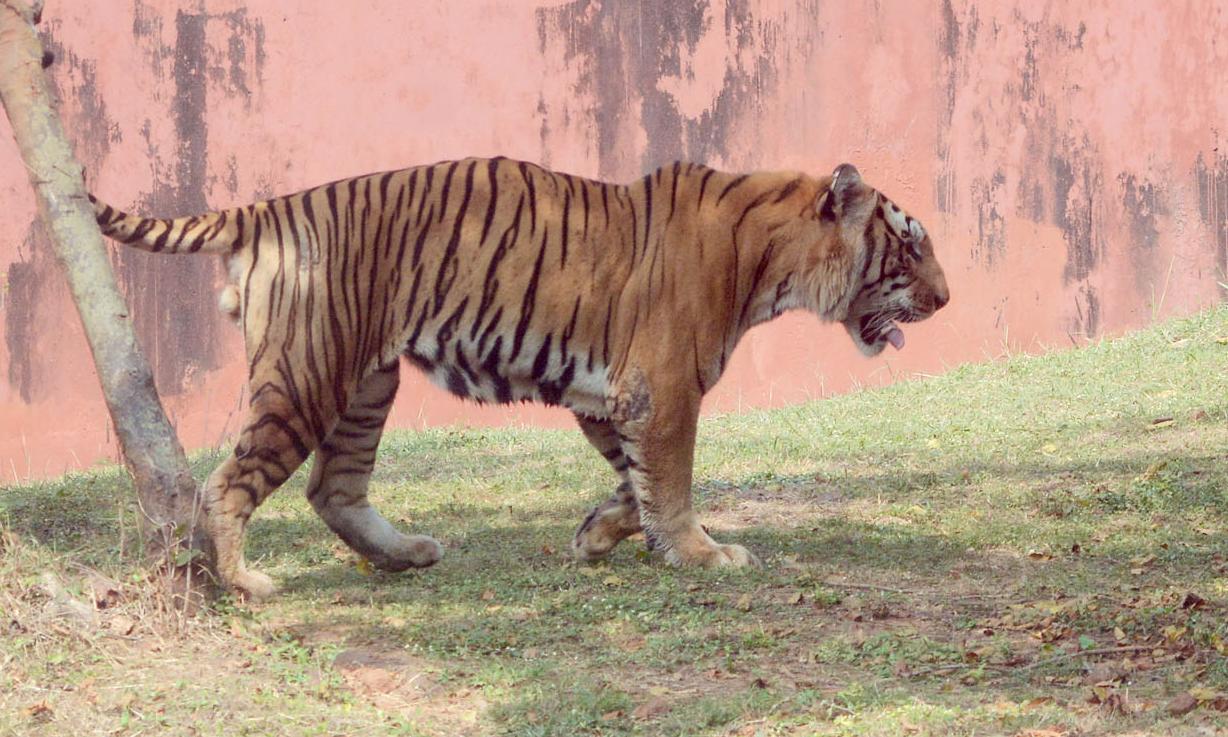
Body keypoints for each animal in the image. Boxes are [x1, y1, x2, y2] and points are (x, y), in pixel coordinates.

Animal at [90, 157, 949, 600]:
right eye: (911, 244)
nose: (946, 299)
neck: (773, 257)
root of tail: (271, 207)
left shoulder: (609, 394)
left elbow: (636, 482)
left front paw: (597, 534)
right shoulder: (663, 388)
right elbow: (671, 482)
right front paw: (702, 554)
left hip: (366, 380)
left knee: (333, 487)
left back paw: (406, 553)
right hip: (308, 371)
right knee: (227, 482)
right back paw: (246, 580)